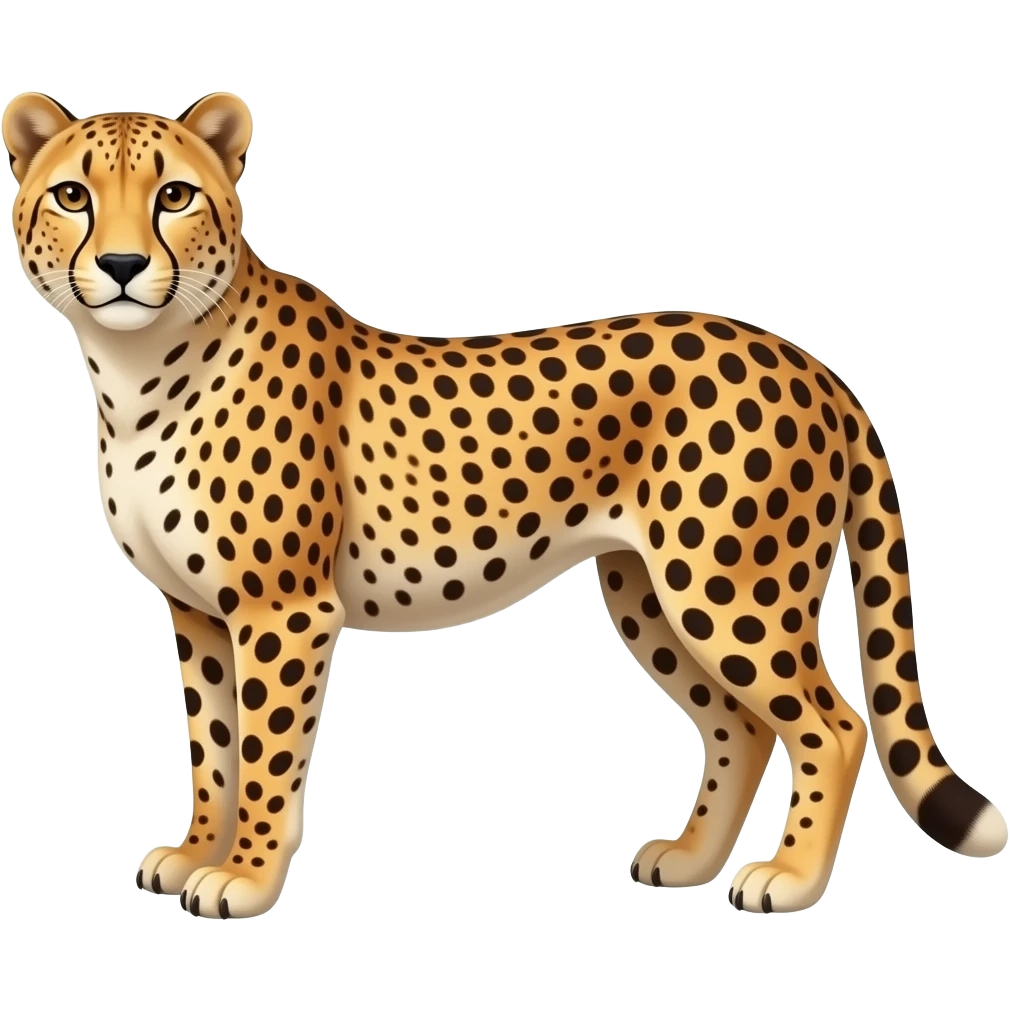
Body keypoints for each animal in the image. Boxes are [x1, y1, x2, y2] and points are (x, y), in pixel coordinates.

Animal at [5, 89, 1006, 919]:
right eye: (73, 197)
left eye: (174, 196)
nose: (123, 264)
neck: (136, 367)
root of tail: (806, 360)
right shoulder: (200, 613)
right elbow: (212, 747)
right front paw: (193, 852)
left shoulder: (282, 609)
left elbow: (268, 756)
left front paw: (244, 879)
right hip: (649, 591)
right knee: (743, 723)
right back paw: (690, 861)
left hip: (728, 590)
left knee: (833, 726)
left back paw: (789, 879)